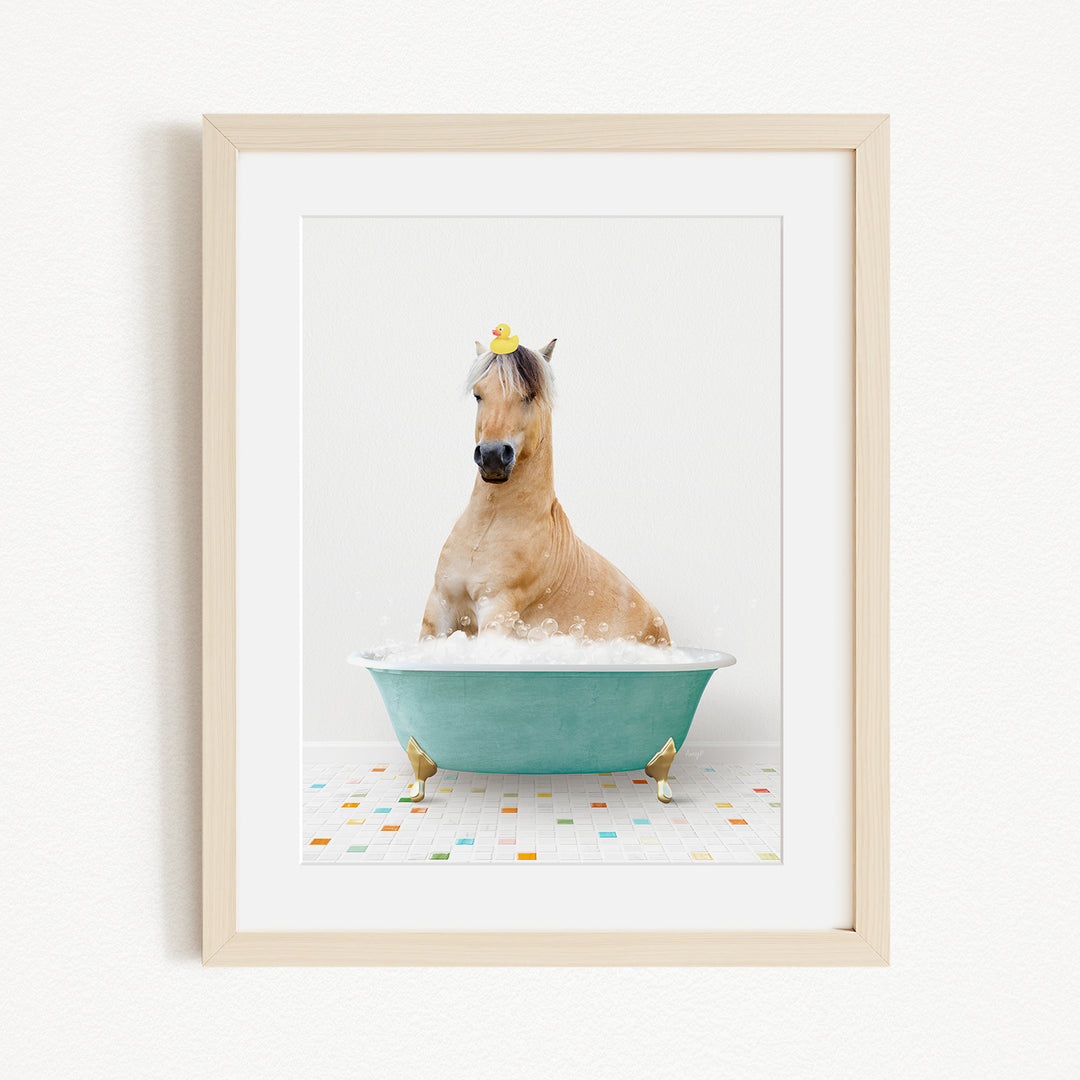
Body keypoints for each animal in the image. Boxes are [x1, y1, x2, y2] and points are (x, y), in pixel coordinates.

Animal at [420, 337, 671, 646]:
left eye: (529, 395)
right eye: (478, 395)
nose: (492, 456)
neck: (487, 528)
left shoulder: (497, 610)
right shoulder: (439, 606)